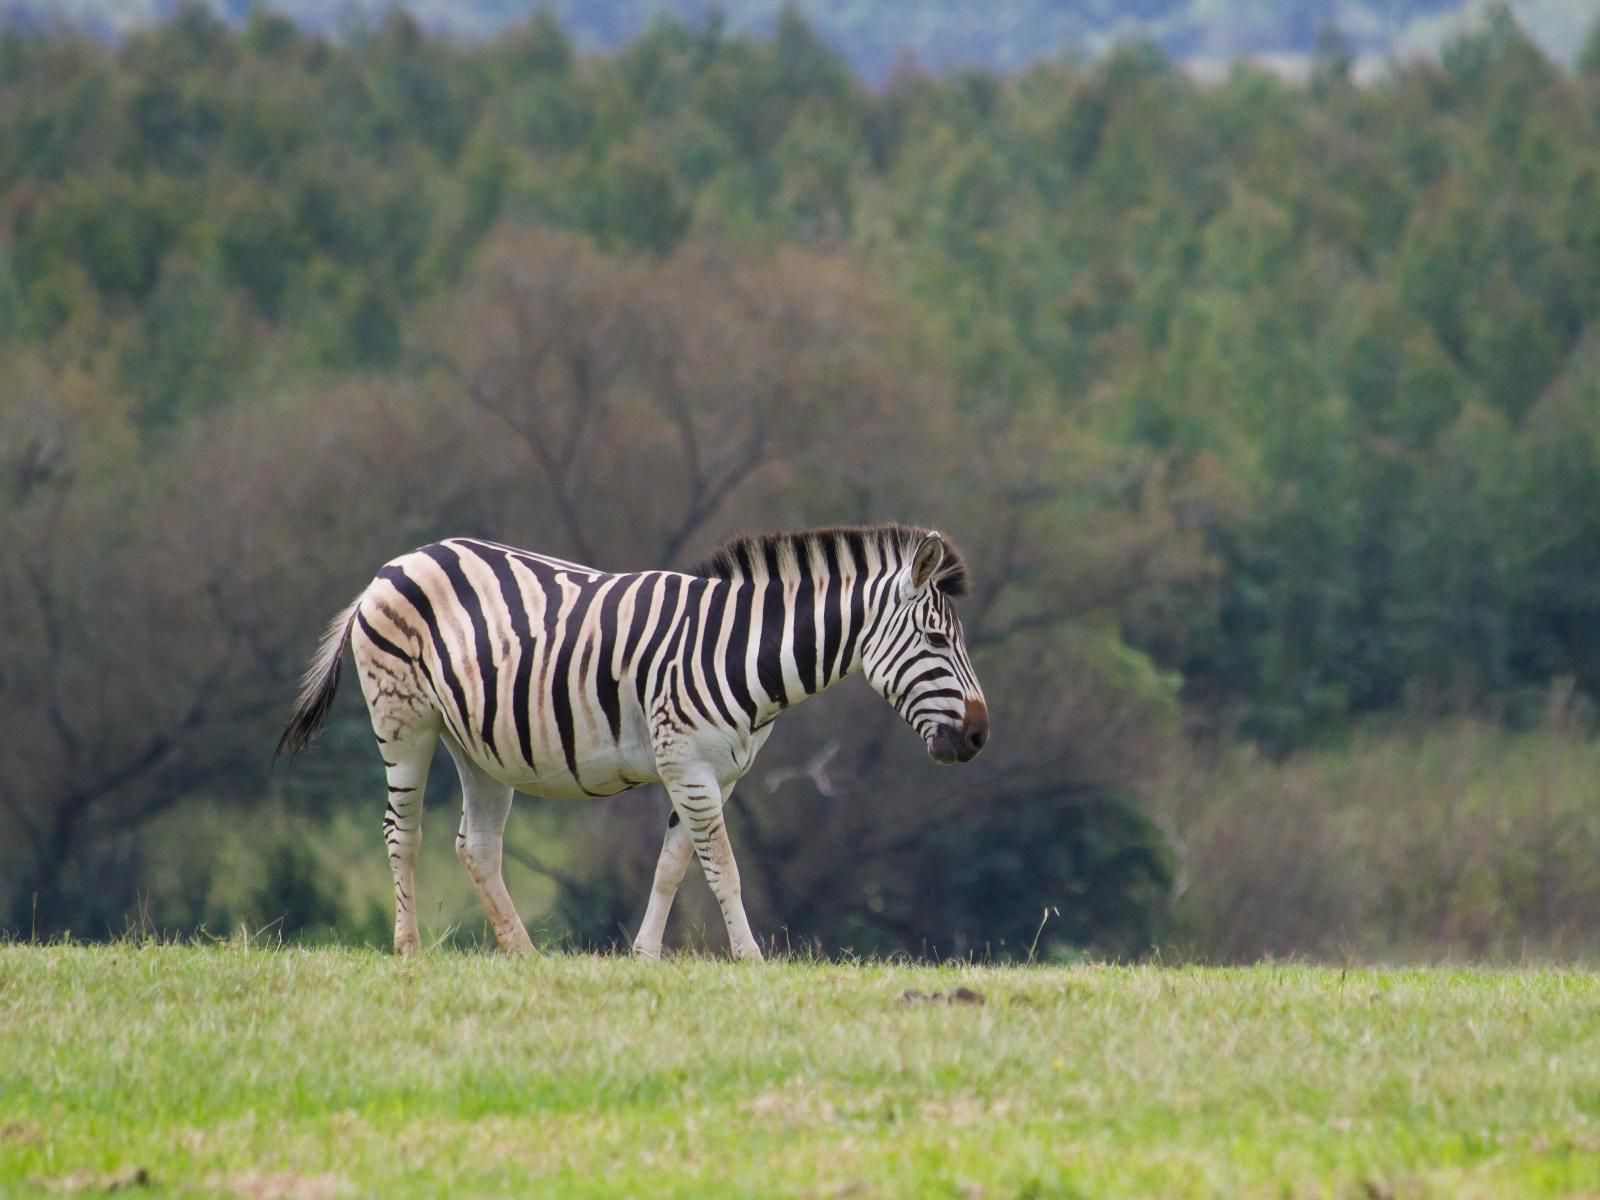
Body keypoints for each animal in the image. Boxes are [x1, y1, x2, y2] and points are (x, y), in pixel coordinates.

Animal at [278, 521, 985, 966]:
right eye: (936, 640)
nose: (979, 735)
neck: (740, 652)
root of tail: (395, 565)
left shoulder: (714, 773)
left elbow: (674, 864)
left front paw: (643, 957)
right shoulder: (688, 763)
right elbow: (723, 867)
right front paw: (753, 959)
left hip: (478, 744)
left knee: (475, 846)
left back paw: (525, 956)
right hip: (405, 721)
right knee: (403, 831)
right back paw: (409, 950)